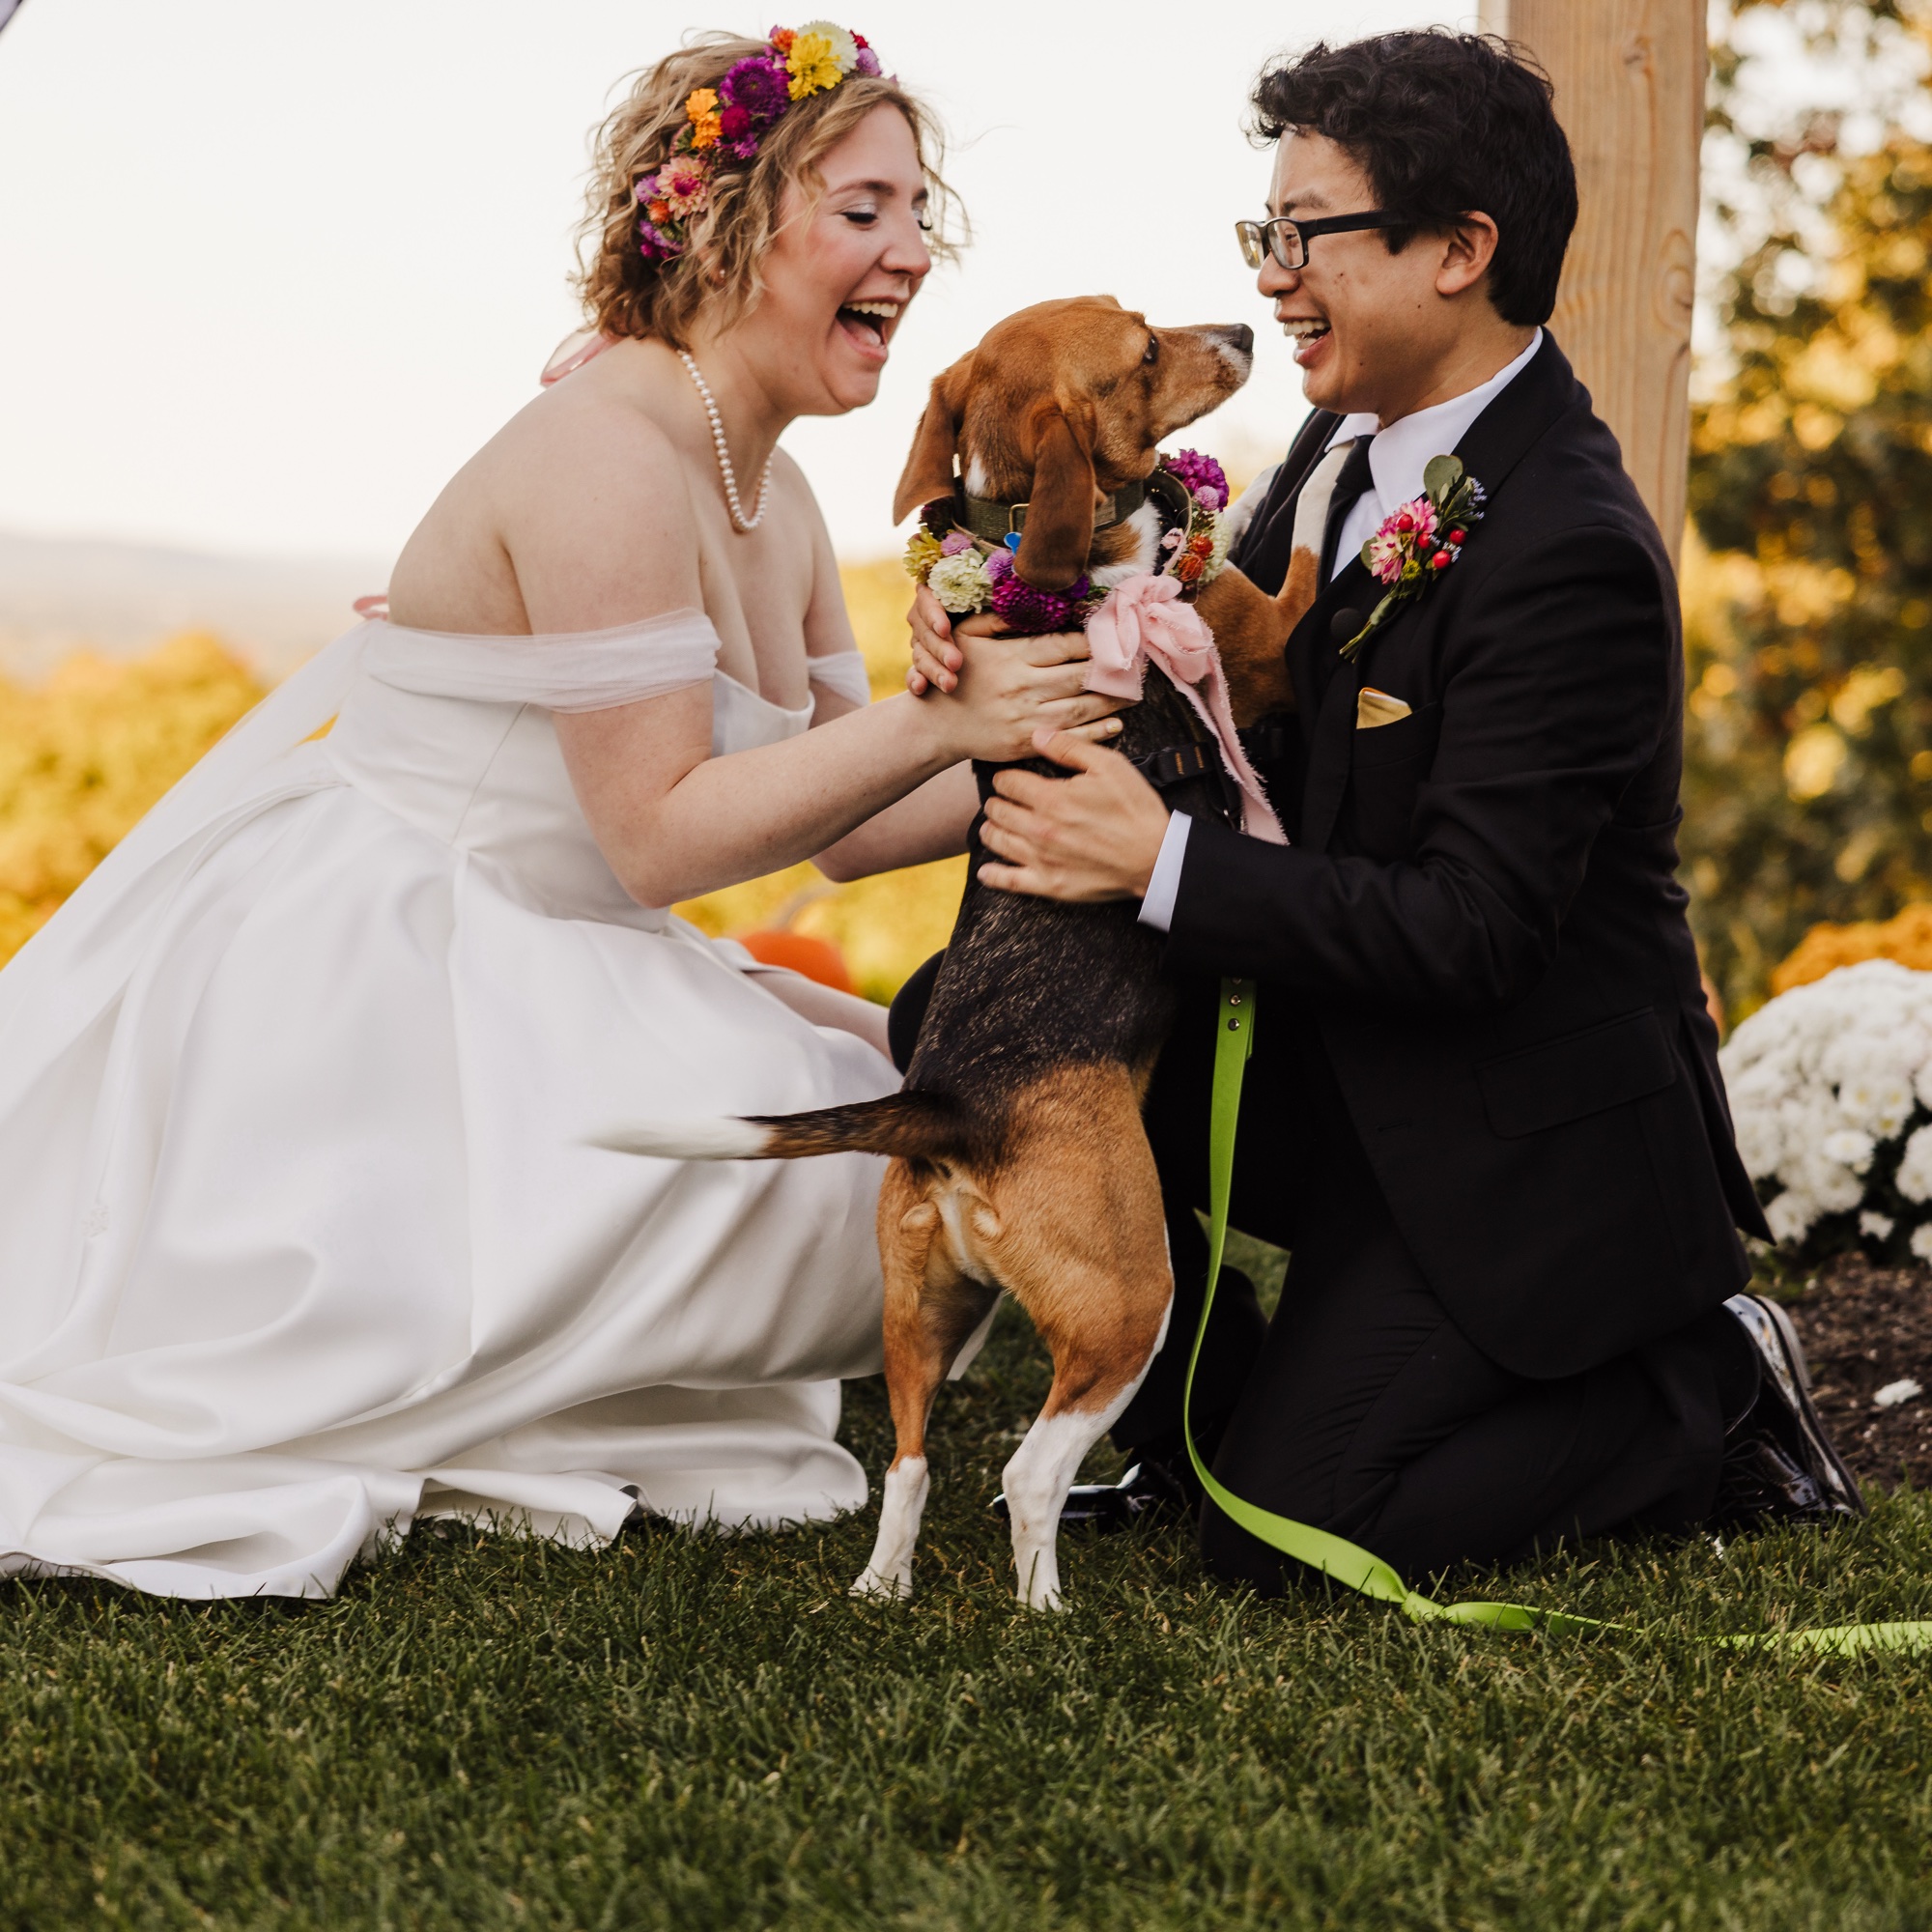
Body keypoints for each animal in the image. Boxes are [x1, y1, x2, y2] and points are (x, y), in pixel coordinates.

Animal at [619, 298, 1346, 1607]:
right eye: (1143, 352)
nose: (1242, 330)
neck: (1034, 551)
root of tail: (950, 1105)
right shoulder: (1253, 637)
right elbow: (1303, 535)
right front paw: (1336, 446)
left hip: (919, 1308)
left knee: (907, 1463)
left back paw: (884, 1584)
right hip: (1130, 1299)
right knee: (1029, 1467)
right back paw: (1043, 1600)